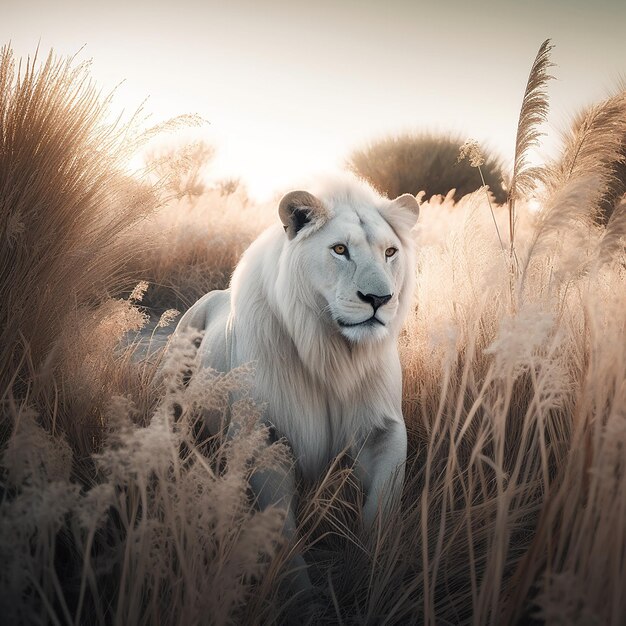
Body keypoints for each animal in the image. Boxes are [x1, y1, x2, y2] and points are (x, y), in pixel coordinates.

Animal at [172, 174, 414, 588]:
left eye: (390, 252)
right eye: (339, 249)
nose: (379, 298)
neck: (332, 354)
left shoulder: (383, 430)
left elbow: (382, 507)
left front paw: (371, 571)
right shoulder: (263, 434)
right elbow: (278, 530)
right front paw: (298, 592)